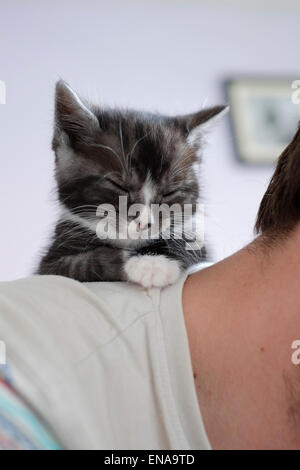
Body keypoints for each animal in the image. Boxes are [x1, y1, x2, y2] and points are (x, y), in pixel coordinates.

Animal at [37, 80, 225, 286]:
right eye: (118, 185)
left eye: (170, 192)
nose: (144, 223)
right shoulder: (49, 268)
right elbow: (83, 264)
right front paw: (144, 264)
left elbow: (189, 242)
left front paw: (158, 260)